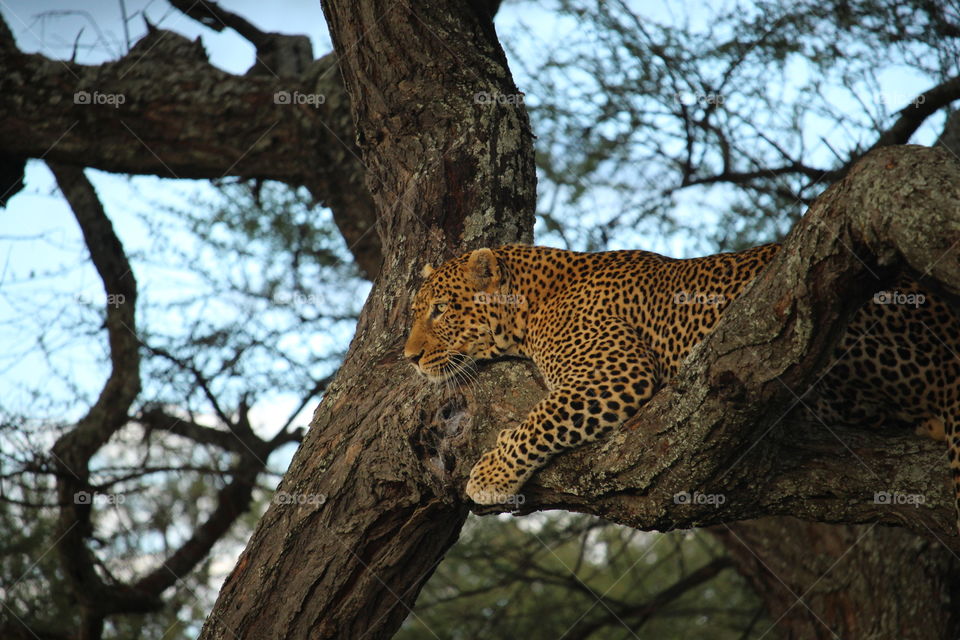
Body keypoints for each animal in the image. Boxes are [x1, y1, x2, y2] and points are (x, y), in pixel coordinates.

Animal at [403, 243, 960, 531]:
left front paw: (490, 474)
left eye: (441, 310)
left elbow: (540, 419)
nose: (409, 357)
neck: (530, 304)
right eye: (416, 311)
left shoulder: (615, 372)